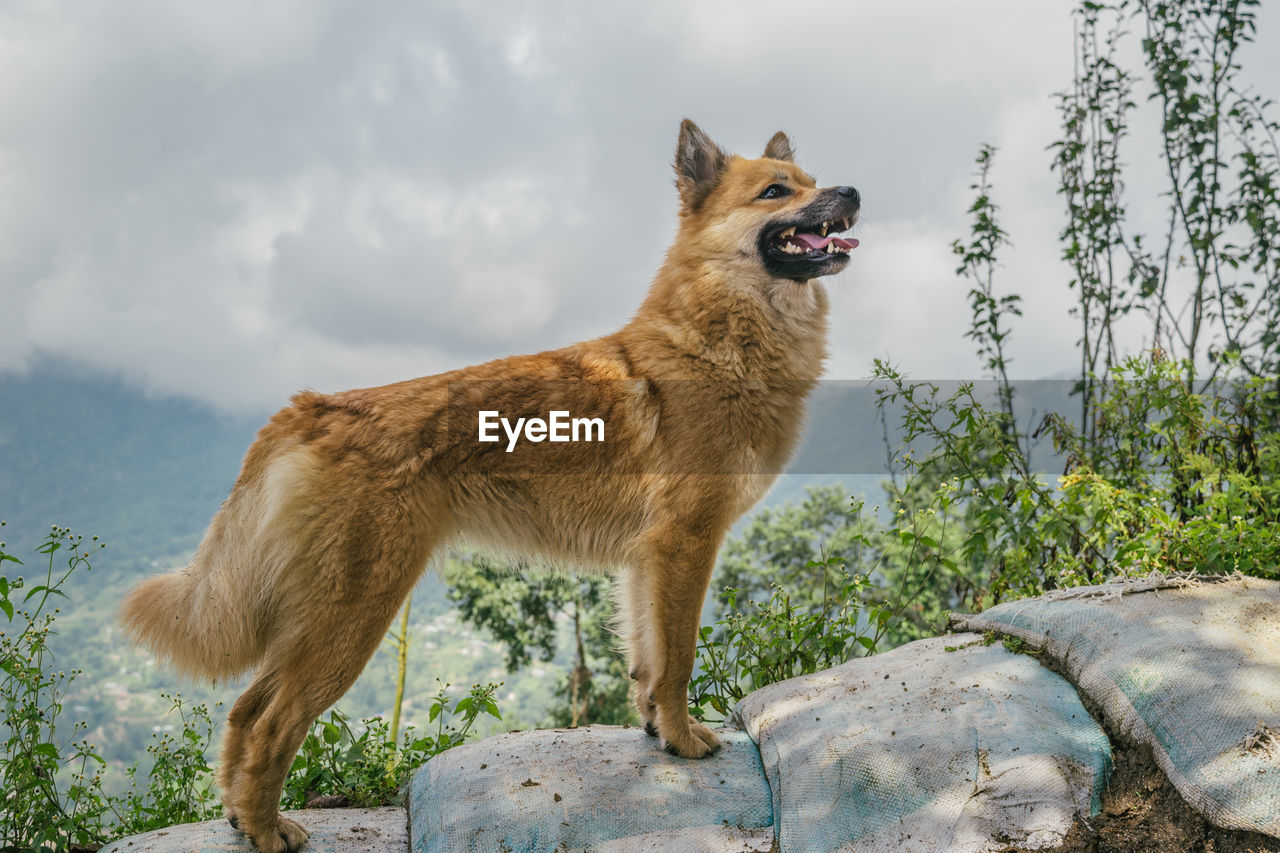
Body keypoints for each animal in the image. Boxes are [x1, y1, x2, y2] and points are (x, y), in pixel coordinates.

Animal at [120, 121, 860, 850]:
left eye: (812, 181)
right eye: (776, 191)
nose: (852, 191)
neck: (717, 337)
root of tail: (312, 407)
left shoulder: (647, 561)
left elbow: (647, 662)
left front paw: (658, 730)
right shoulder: (686, 544)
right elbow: (676, 656)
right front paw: (682, 741)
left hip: (320, 614)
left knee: (245, 711)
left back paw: (241, 817)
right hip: (353, 614)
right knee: (274, 720)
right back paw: (268, 829)